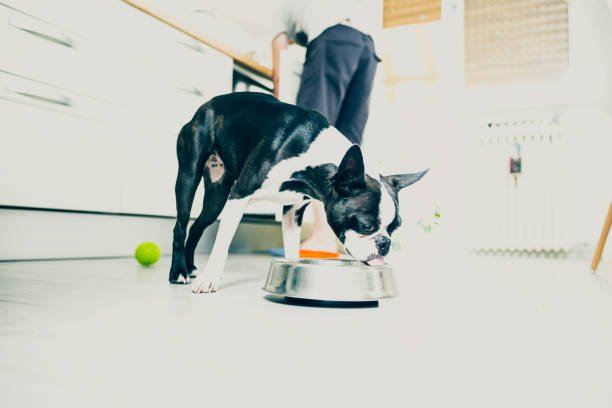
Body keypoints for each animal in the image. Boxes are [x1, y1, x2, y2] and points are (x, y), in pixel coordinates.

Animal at [167, 93, 426, 294]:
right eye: (366, 226)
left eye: (394, 228)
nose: (385, 243)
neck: (310, 155)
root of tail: (204, 107)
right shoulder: (239, 196)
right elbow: (222, 244)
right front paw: (209, 279)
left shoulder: (293, 211)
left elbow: (291, 248)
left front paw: (291, 271)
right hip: (190, 176)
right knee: (181, 226)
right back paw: (178, 272)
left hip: (217, 196)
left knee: (197, 227)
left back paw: (190, 267)